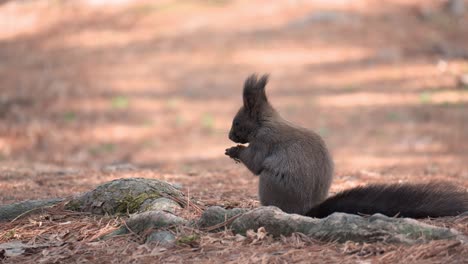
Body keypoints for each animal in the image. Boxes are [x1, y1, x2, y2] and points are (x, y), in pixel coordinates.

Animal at [226, 73, 468, 218]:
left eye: (237, 122)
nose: (229, 136)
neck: (265, 122)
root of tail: (307, 210)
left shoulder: (265, 140)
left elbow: (255, 162)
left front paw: (234, 151)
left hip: (269, 183)